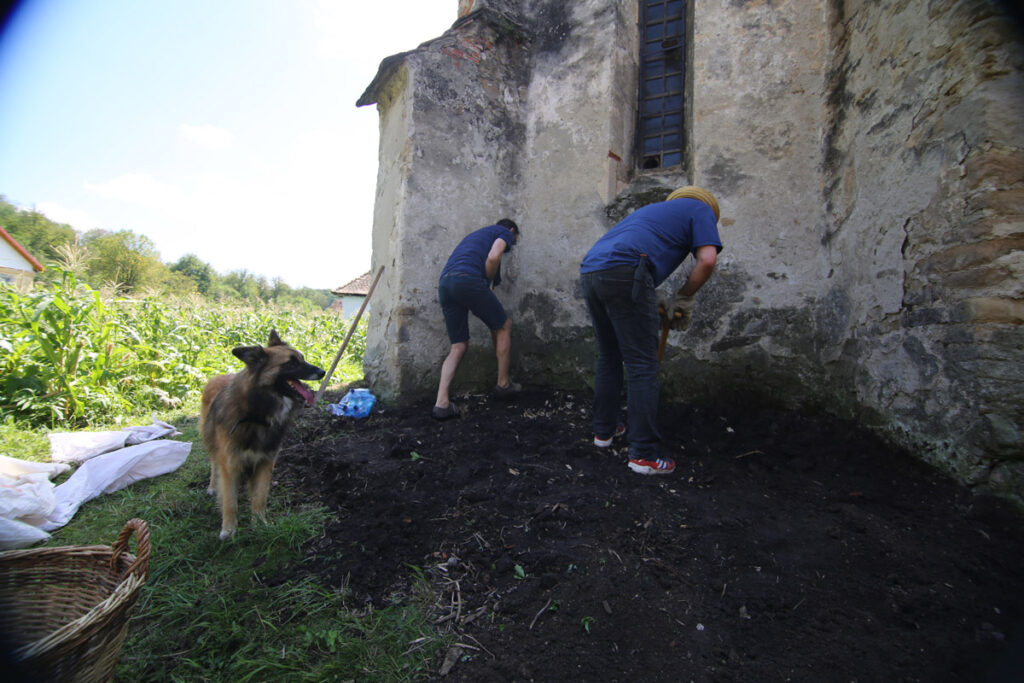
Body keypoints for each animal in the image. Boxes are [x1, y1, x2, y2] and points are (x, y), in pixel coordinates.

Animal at [199, 331, 323, 540]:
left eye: (303, 358)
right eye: (291, 363)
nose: (322, 372)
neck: (257, 414)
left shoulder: (265, 462)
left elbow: (259, 497)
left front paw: (260, 524)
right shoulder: (230, 463)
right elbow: (230, 502)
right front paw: (229, 530)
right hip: (211, 442)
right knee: (214, 464)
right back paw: (213, 486)